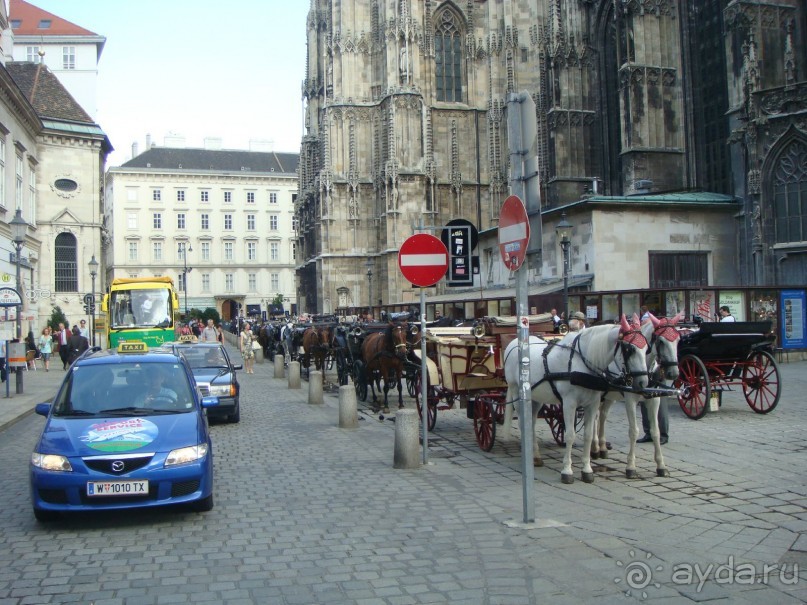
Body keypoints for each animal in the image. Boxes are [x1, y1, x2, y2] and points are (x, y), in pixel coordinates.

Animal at [502, 316, 652, 482]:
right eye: (629, 349)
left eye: (647, 348)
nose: (643, 383)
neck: (582, 363)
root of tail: (513, 344)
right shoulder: (569, 404)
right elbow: (570, 435)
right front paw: (567, 471)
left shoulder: (592, 404)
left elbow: (588, 435)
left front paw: (587, 470)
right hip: (516, 393)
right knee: (523, 424)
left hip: (536, 398)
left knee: (531, 423)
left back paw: (535, 456)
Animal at [592, 312, 680, 476]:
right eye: (661, 341)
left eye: (678, 339)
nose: (674, 373)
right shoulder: (630, 400)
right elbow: (633, 431)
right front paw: (631, 466)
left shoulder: (654, 400)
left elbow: (655, 431)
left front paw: (661, 465)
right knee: (594, 416)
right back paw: (594, 447)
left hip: (609, 396)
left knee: (603, 415)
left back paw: (602, 446)